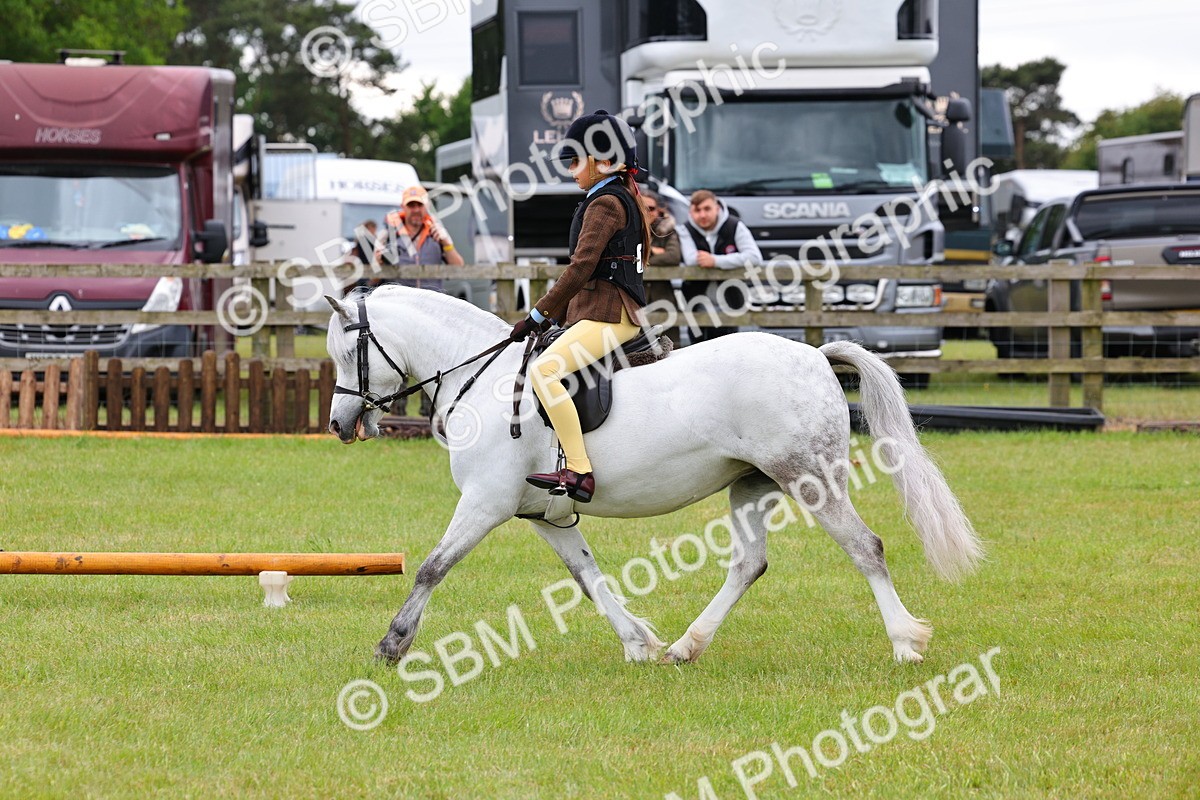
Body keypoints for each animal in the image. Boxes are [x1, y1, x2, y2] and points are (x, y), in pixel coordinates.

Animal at [324, 286, 982, 665]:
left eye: (347, 353)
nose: (338, 423)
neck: (482, 379)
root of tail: (816, 355)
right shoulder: (543, 514)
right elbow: (587, 577)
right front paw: (638, 641)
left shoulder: (485, 503)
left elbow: (433, 567)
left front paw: (393, 643)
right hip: (751, 484)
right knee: (749, 563)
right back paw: (689, 646)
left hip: (809, 478)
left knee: (864, 546)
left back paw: (906, 643)